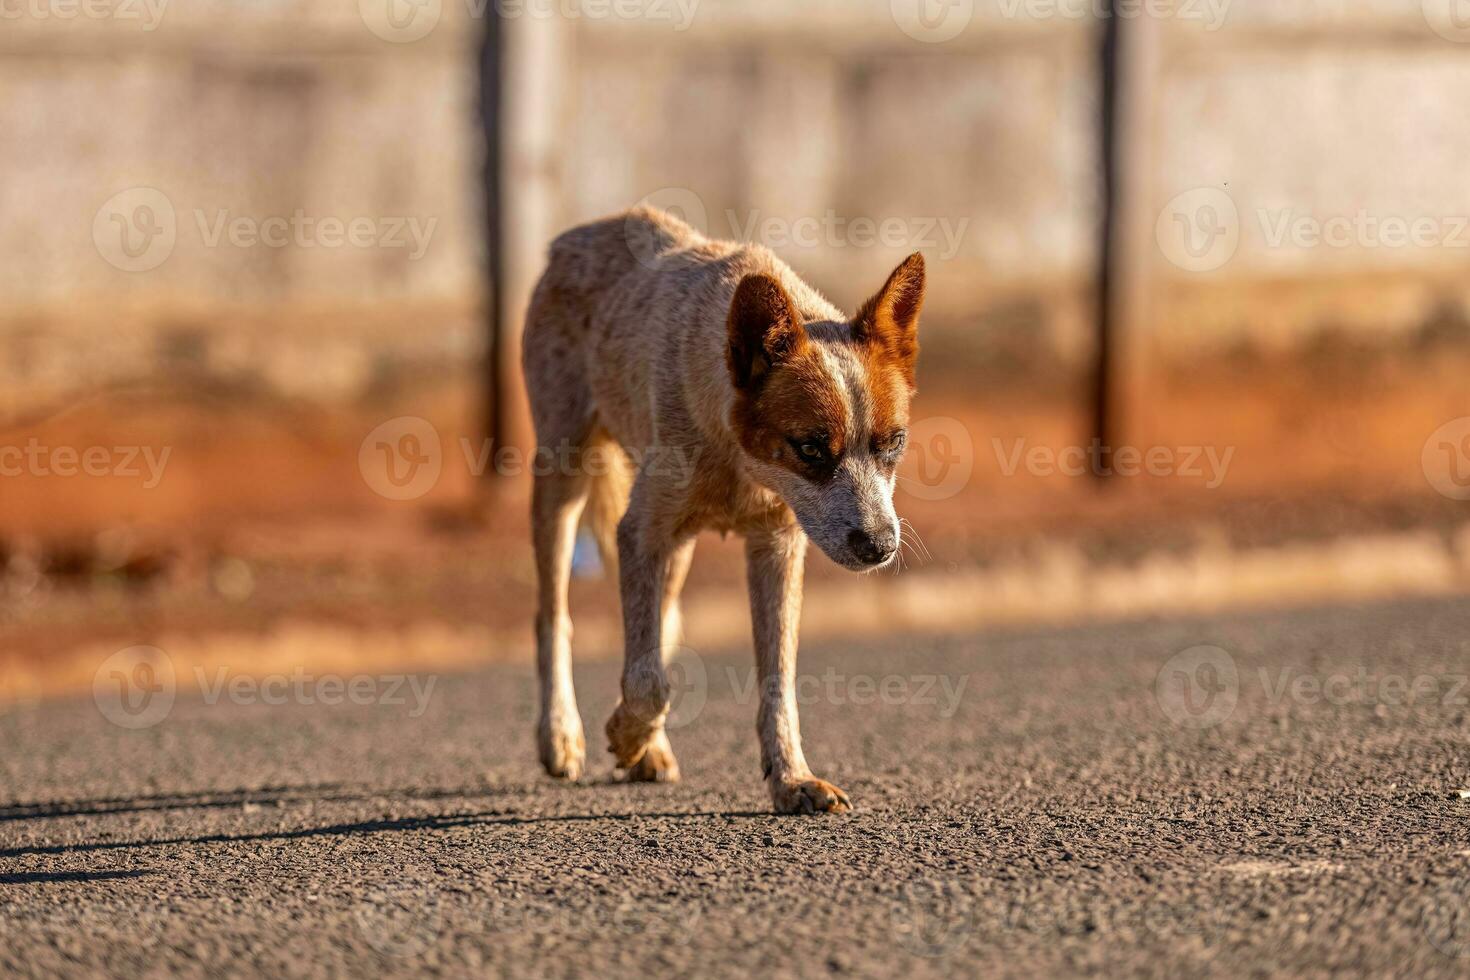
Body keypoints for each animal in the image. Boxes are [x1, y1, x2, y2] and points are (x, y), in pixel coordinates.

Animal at [523, 205, 923, 811]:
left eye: (893, 443)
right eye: (811, 448)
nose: (880, 546)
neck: (740, 464)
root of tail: (583, 232)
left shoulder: (777, 546)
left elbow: (777, 680)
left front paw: (792, 778)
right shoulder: (640, 530)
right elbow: (650, 680)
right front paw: (623, 733)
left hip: (677, 549)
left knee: (660, 626)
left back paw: (652, 750)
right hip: (562, 479)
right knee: (555, 617)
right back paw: (562, 736)